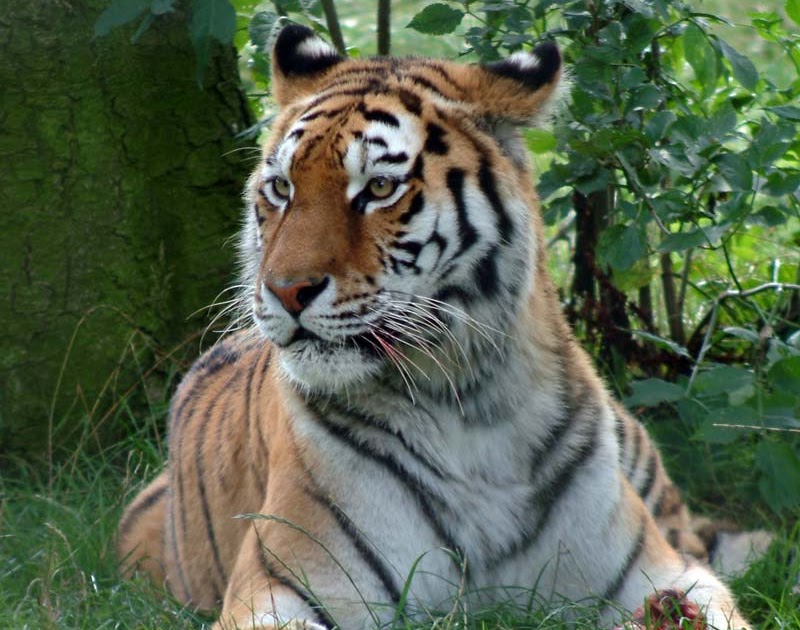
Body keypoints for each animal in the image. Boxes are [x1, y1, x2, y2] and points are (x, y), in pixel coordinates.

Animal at [118, 23, 750, 630]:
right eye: (281, 188)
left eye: (378, 189)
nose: (284, 290)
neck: (473, 405)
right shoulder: (284, 583)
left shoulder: (658, 570)